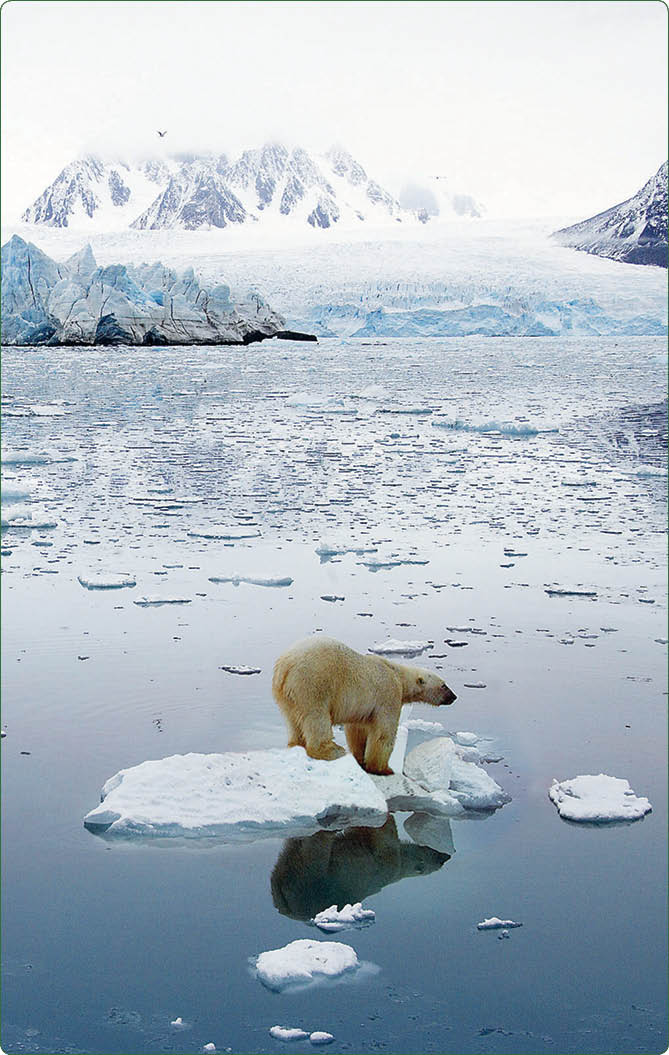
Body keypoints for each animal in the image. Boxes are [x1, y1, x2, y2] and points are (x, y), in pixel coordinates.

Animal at [271, 635, 456, 776]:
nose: (454, 697)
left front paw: (360, 759)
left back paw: (296, 744)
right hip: (313, 684)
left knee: (293, 720)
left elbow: (357, 731)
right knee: (317, 718)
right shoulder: (389, 695)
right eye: (444, 685)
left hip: (286, 696)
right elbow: (383, 734)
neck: (398, 675)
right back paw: (332, 750)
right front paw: (383, 769)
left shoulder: (362, 708)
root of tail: (285, 666)